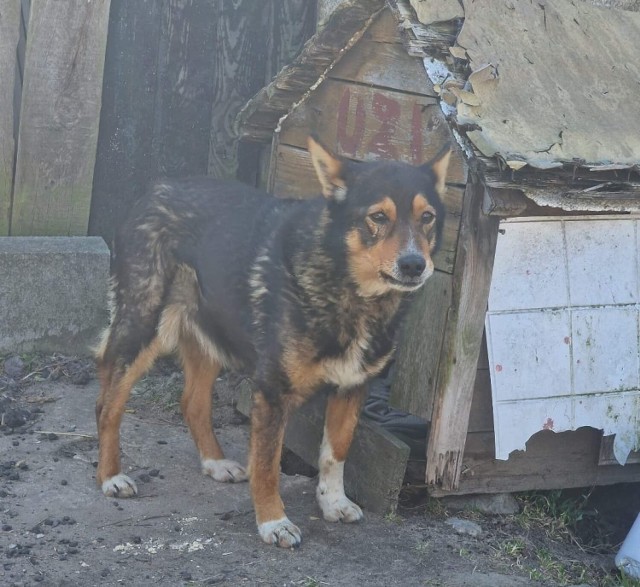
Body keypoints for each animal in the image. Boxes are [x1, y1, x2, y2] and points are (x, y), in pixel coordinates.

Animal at [95, 137, 450, 548]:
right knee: (108, 405)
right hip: (144, 326)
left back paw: (215, 463)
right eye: (377, 216)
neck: (349, 288)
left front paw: (333, 502)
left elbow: (335, 451)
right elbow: (267, 464)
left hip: (210, 336)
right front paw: (273, 521)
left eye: (427, 217)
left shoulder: (352, 387)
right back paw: (110, 477)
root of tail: (157, 188)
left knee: (192, 403)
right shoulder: (272, 391)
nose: (414, 265)